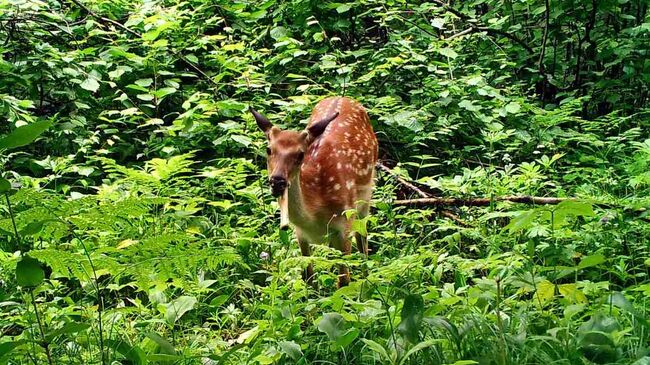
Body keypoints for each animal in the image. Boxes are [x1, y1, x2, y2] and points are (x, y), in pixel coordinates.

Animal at [249, 96, 380, 288]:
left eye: (300, 154)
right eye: (268, 149)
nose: (277, 181)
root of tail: (343, 97)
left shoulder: (345, 222)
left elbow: (344, 282)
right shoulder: (300, 234)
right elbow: (309, 278)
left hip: (365, 198)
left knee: (363, 240)